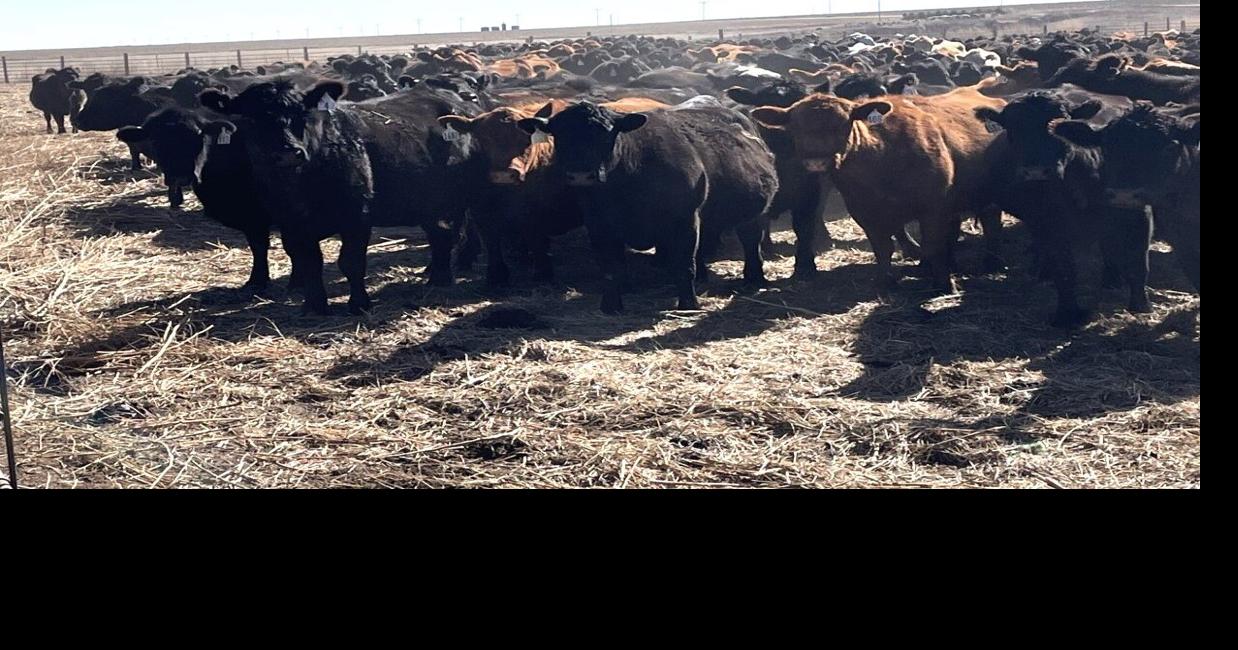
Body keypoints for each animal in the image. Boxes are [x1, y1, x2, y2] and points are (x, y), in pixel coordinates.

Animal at [518, 100, 780, 313]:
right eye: (559, 135)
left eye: (607, 135)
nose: (581, 175)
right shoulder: (599, 224)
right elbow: (611, 269)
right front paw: (611, 306)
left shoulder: (685, 219)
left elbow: (684, 264)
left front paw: (688, 304)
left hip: (756, 212)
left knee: (751, 242)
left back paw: (754, 278)